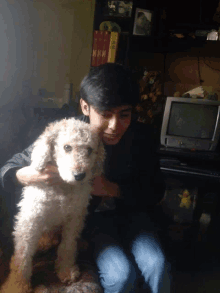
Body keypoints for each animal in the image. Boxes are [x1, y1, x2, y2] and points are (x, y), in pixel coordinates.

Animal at [1, 117, 105, 290]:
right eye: (67, 147)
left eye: (89, 149)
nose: (79, 175)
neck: (62, 187)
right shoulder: (31, 219)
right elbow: (23, 254)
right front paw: (18, 285)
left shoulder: (74, 218)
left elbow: (67, 246)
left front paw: (66, 270)